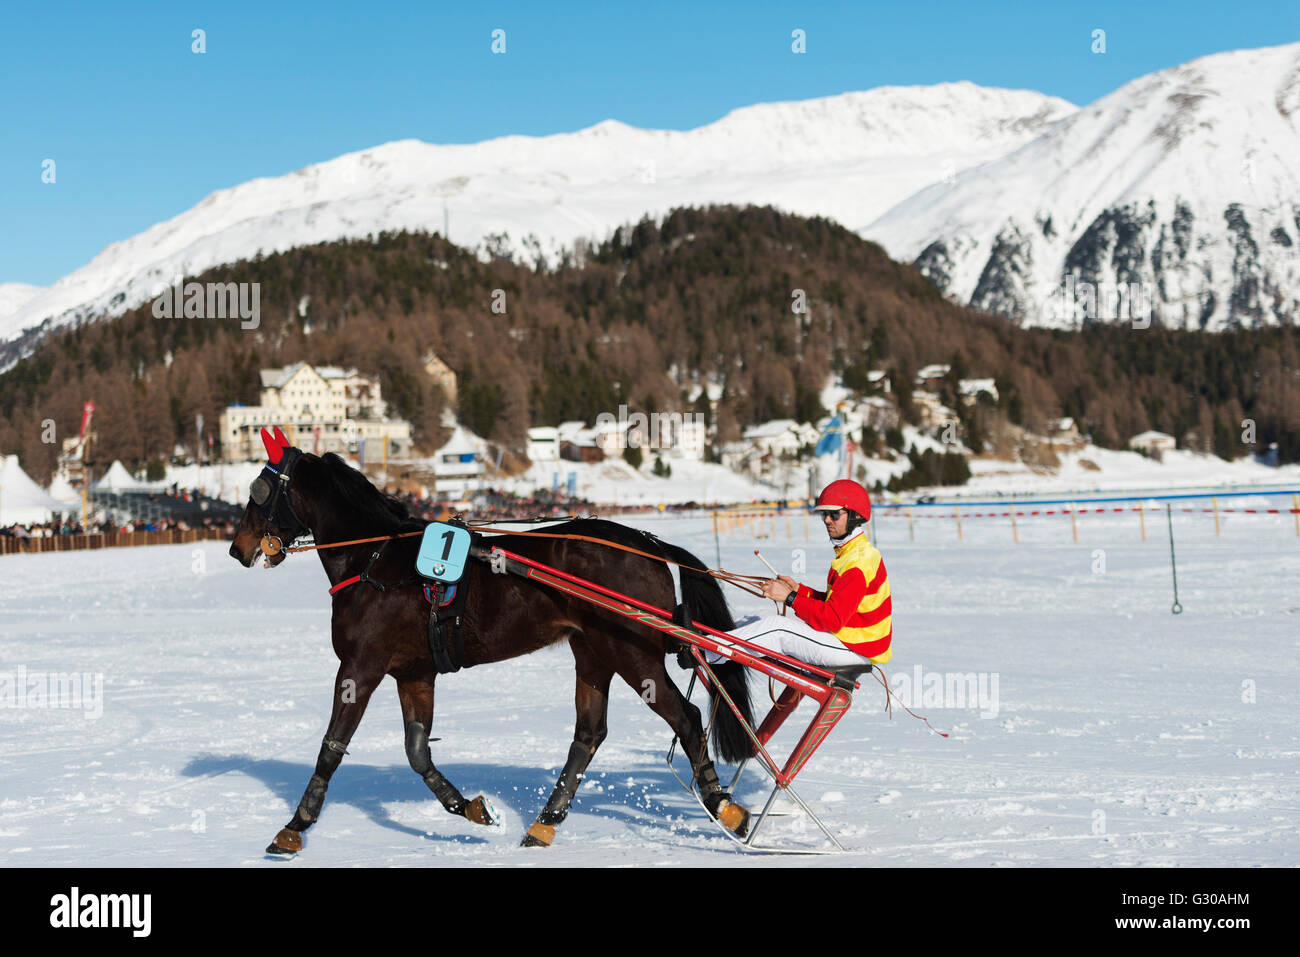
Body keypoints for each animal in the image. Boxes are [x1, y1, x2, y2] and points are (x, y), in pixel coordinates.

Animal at [223, 434, 754, 852]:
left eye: (258, 491)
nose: (236, 548)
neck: (375, 558)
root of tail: (650, 546)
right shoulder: (414, 674)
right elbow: (418, 752)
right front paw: (471, 807)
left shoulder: (360, 666)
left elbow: (332, 747)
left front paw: (294, 827)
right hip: (594, 654)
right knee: (588, 735)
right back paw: (543, 823)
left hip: (633, 654)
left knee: (686, 718)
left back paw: (724, 807)